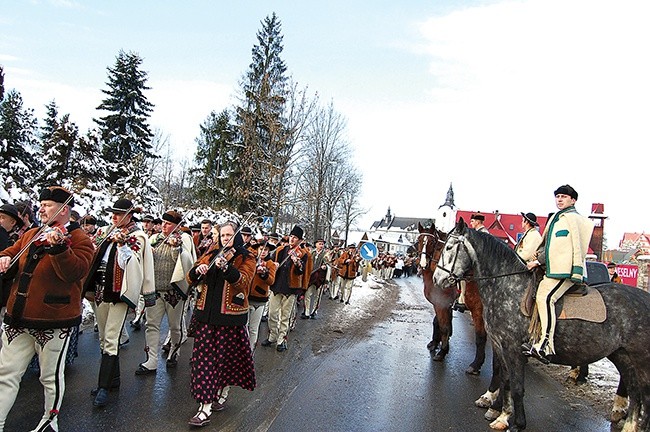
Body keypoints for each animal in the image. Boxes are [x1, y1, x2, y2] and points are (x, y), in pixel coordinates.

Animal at [416, 223, 486, 374]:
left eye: (432, 243)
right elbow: (438, 322)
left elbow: (444, 327)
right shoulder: (443, 304)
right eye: (418, 241)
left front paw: (442, 351)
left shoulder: (440, 304)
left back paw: (476, 365)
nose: (423, 264)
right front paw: (435, 343)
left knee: (482, 337)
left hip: (479, 312)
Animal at [430, 219, 648, 432]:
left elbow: (516, 386)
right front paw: (501, 415)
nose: (436, 279)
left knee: (644, 398)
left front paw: (517, 423)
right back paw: (628, 424)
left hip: (641, 359)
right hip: (622, 355)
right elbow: (505, 380)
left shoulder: (512, 349)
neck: (507, 288)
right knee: (634, 391)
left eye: (448, 247)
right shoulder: (501, 346)